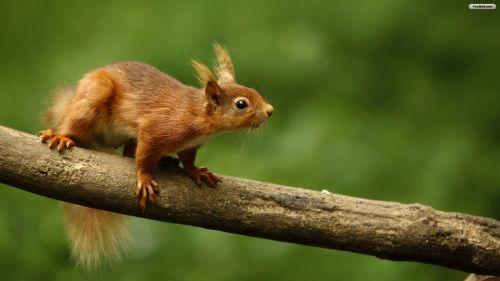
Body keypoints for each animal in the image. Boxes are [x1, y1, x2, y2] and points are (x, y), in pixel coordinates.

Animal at [38, 44, 274, 270]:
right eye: (241, 104)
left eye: (253, 91)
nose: (270, 110)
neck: (198, 114)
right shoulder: (156, 130)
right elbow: (144, 157)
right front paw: (144, 178)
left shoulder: (190, 145)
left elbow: (188, 160)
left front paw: (197, 172)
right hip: (94, 97)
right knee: (76, 127)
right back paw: (61, 136)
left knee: (128, 152)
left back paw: (165, 160)